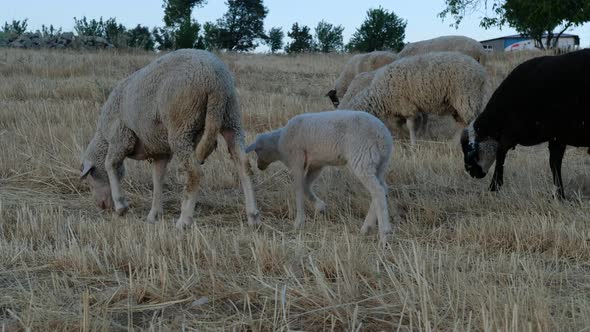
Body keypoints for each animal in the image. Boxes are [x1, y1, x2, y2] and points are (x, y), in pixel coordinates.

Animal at [81, 48, 262, 228]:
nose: (101, 206)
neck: (103, 138)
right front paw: (154, 214)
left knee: (195, 173)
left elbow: (109, 164)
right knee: (244, 166)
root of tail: (215, 79)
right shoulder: (160, 151)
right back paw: (253, 216)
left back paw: (184, 221)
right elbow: (157, 178)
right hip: (231, 118)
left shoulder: (121, 138)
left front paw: (121, 206)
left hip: (182, 124)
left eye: (90, 177)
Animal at [247, 110, 396, 240]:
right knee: (382, 189)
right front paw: (320, 207)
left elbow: (298, 189)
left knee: (378, 191)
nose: (259, 167)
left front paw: (298, 222)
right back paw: (367, 228)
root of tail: (383, 136)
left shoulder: (297, 159)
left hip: (363, 158)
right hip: (379, 164)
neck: (278, 143)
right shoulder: (316, 164)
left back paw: (384, 233)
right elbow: (306, 186)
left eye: (257, 151)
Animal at [344, 51, 488, 145]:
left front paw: (413, 143)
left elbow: (411, 125)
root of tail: (481, 71)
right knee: (462, 123)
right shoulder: (401, 108)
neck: (379, 93)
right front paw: (404, 138)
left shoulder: (407, 105)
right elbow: (400, 125)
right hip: (459, 103)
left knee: (472, 122)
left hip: (468, 97)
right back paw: (454, 144)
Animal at [462, 48, 590, 198]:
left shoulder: (512, 131)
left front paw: (494, 187)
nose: (469, 171)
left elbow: (501, 154)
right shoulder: (557, 136)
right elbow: (555, 163)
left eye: (467, 148)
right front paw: (559, 195)